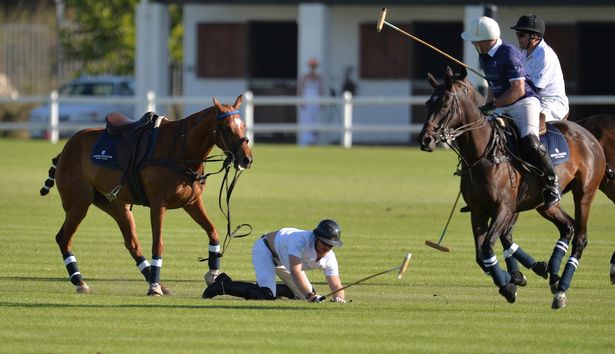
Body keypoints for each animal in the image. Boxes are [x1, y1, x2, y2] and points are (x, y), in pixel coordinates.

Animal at [39, 94, 251, 296]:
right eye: (227, 127)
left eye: (243, 126)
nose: (247, 159)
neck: (181, 149)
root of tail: (65, 149)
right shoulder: (158, 205)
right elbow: (158, 245)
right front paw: (153, 288)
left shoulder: (191, 202)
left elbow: (213, 232)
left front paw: (213, 274)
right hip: (78, 203)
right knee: (63, 238)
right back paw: (80, 281)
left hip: (117, 206)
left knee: (132, 243)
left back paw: (157, 282)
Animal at [418, 68, 608, 308]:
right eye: (427, 103)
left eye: (445, 104)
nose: (425, 140)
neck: (484, 155)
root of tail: (589, 136)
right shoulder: (478, 212)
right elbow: (481, 254)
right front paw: (516, 277)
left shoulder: (505, 208)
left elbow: (489, 246)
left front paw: (509, 286)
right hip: (544, 203)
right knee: (567, 227)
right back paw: (552, 274)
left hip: (584, 194)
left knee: (580, 238)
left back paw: (561, 289)